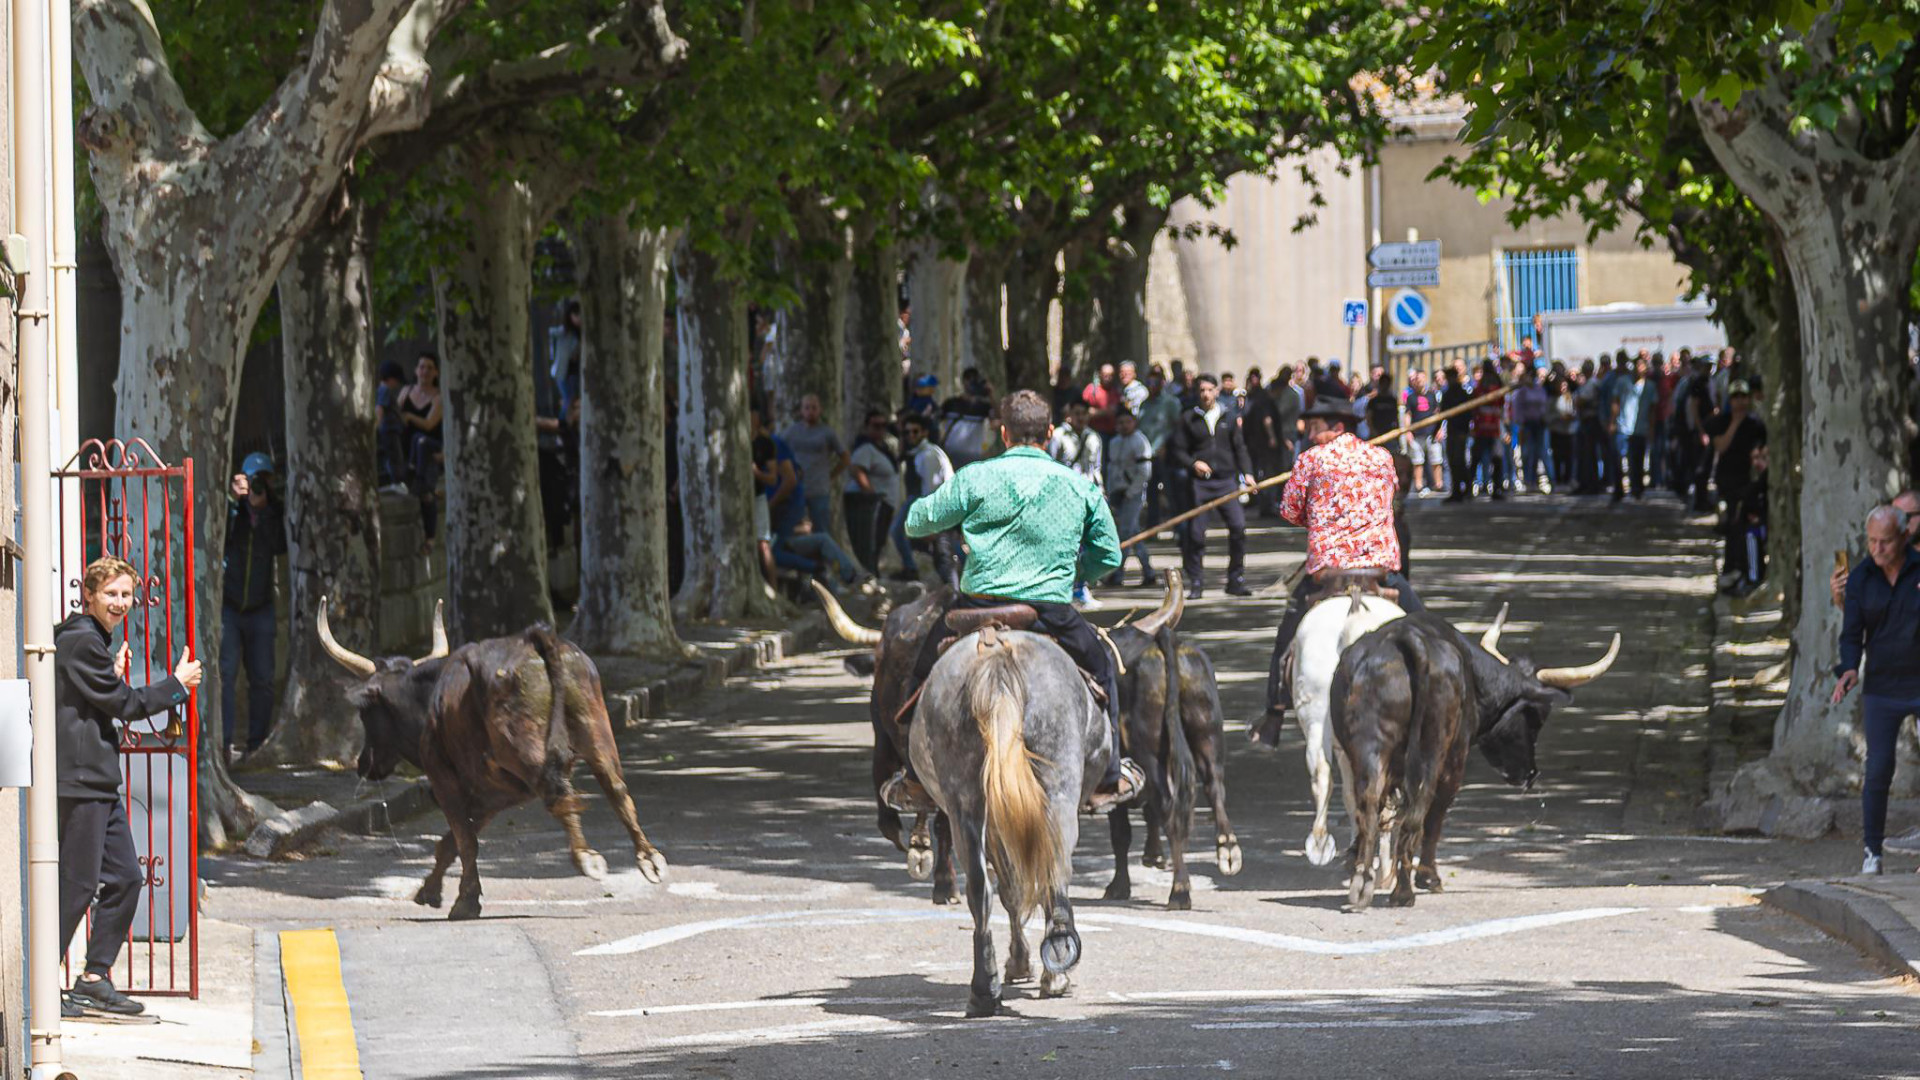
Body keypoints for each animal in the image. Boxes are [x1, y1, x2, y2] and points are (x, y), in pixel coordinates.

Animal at [913, 622, 1113, 1006]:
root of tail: (995, 656)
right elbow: (1017, 888)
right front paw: (1022, 964)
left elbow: (1010, 889)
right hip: (1055, 789)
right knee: (1051, 874)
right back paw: (1054, 969)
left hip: (966, 803)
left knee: (982, 887)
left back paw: (985, 989)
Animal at [1336, 611, 1620, 903]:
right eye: (1537, 718)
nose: (1531, 774)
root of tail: (1407, 640)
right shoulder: (1456, 757)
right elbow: (1433, 818)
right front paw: (1428, 878)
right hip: (1435, 756)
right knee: (1419, 813)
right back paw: (1404, 891)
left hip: (1369, 750)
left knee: (1368, 803)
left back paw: (1362, 884)